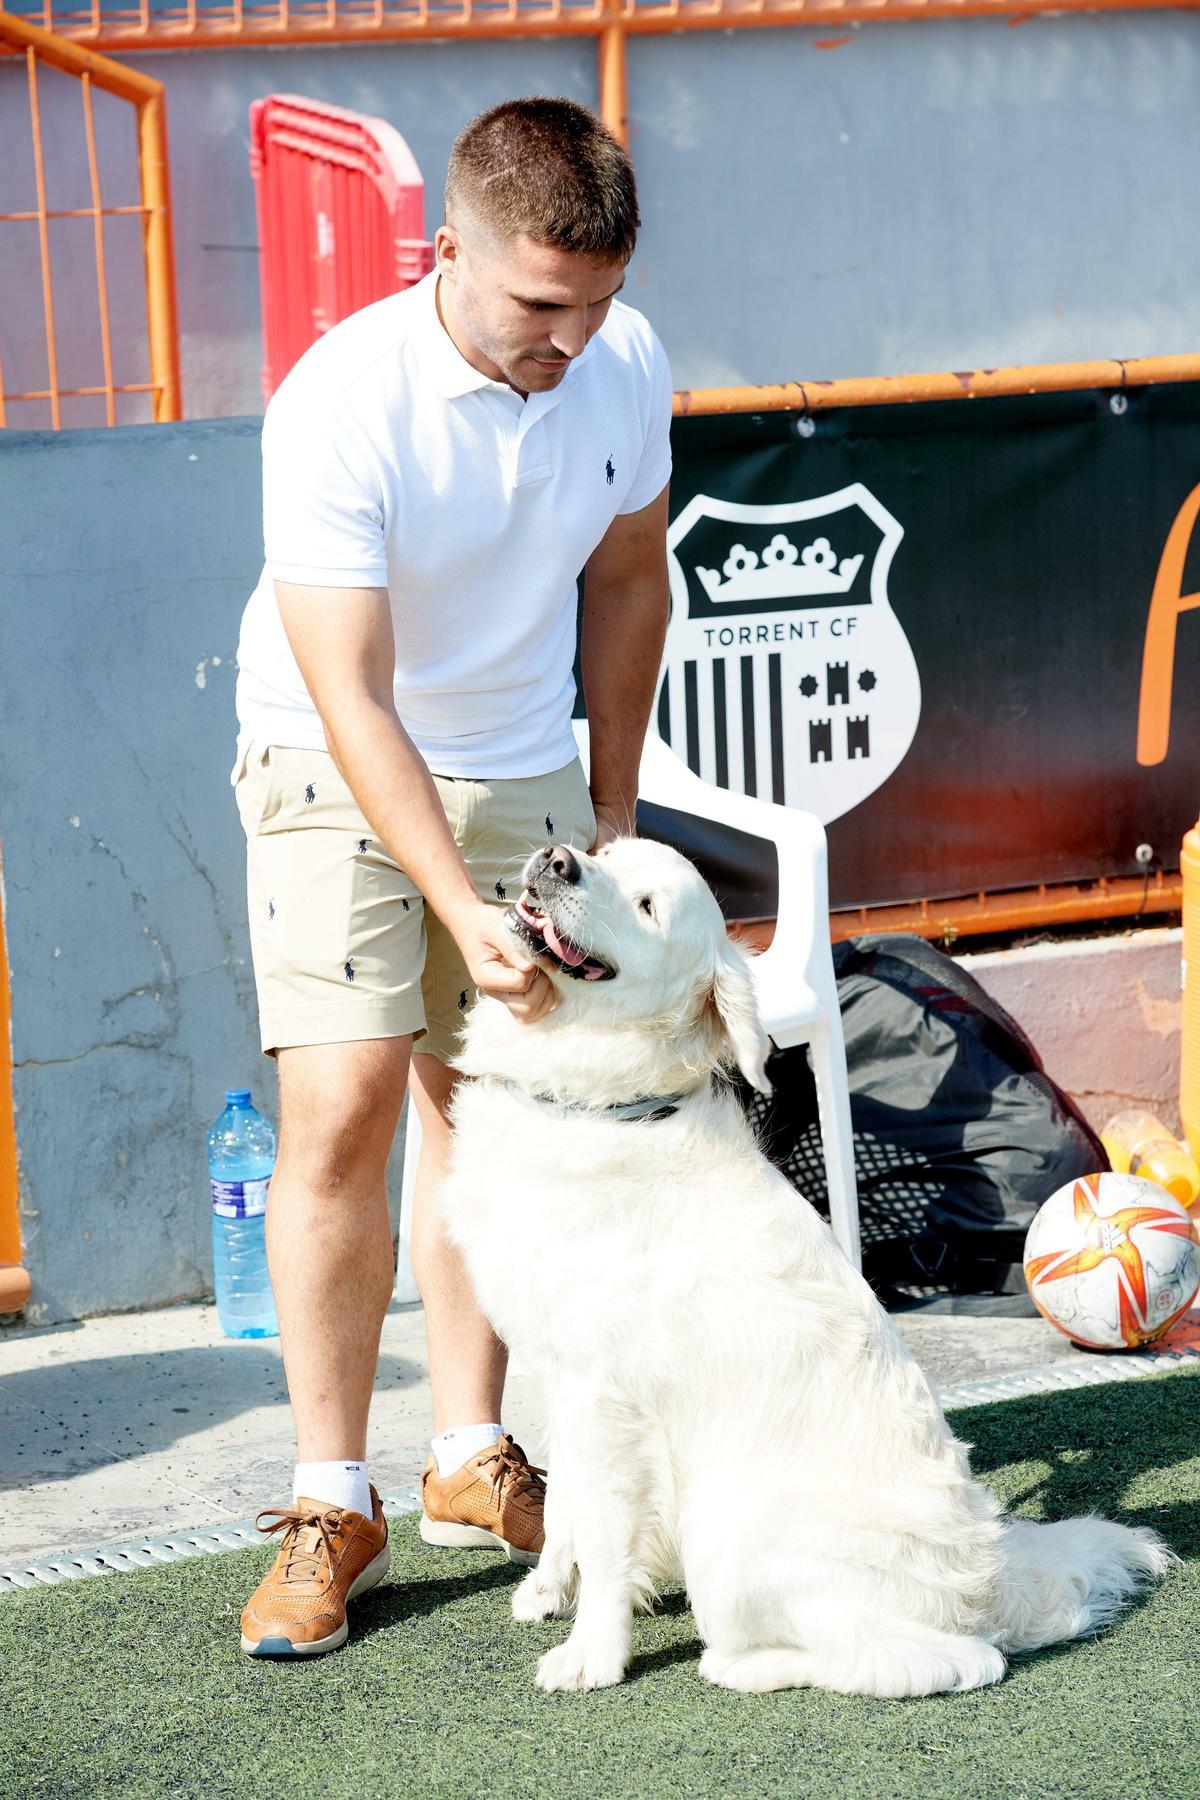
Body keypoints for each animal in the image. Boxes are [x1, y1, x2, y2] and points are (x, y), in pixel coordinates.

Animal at [438, 835, 1173, 1692]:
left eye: (649, 907)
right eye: (605, 852)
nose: (558, 861)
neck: (602, 1104)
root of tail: (995, 1583)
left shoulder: (605, 1394)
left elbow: (607, 1529)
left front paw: (593, 1652)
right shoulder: (560, 1373)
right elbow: (566, 1508)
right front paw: (549, 1588)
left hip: (729, 1532)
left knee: (956, 1660)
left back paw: (736, 1665)